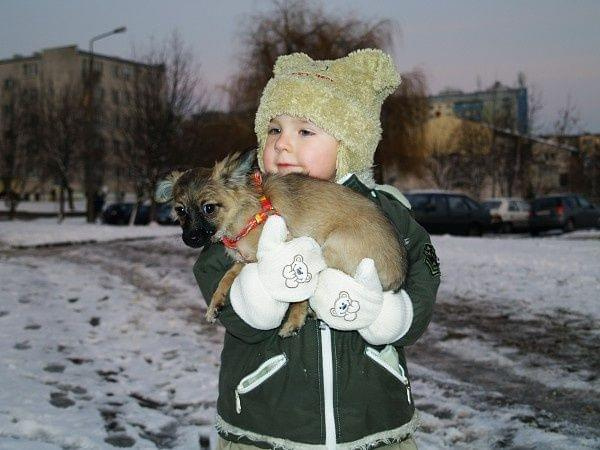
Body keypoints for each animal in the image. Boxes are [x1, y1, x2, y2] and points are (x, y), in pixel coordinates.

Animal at [156, 152, 408, 338]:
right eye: (180, 210)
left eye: (209, 208)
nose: (190, 239)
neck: (244, 213)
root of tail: (397, 274)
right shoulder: (247, 259)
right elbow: (227, 276)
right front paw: (215, 303)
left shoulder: (289, 248)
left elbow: (300, 295)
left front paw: (295, 320)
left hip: (330, 247)